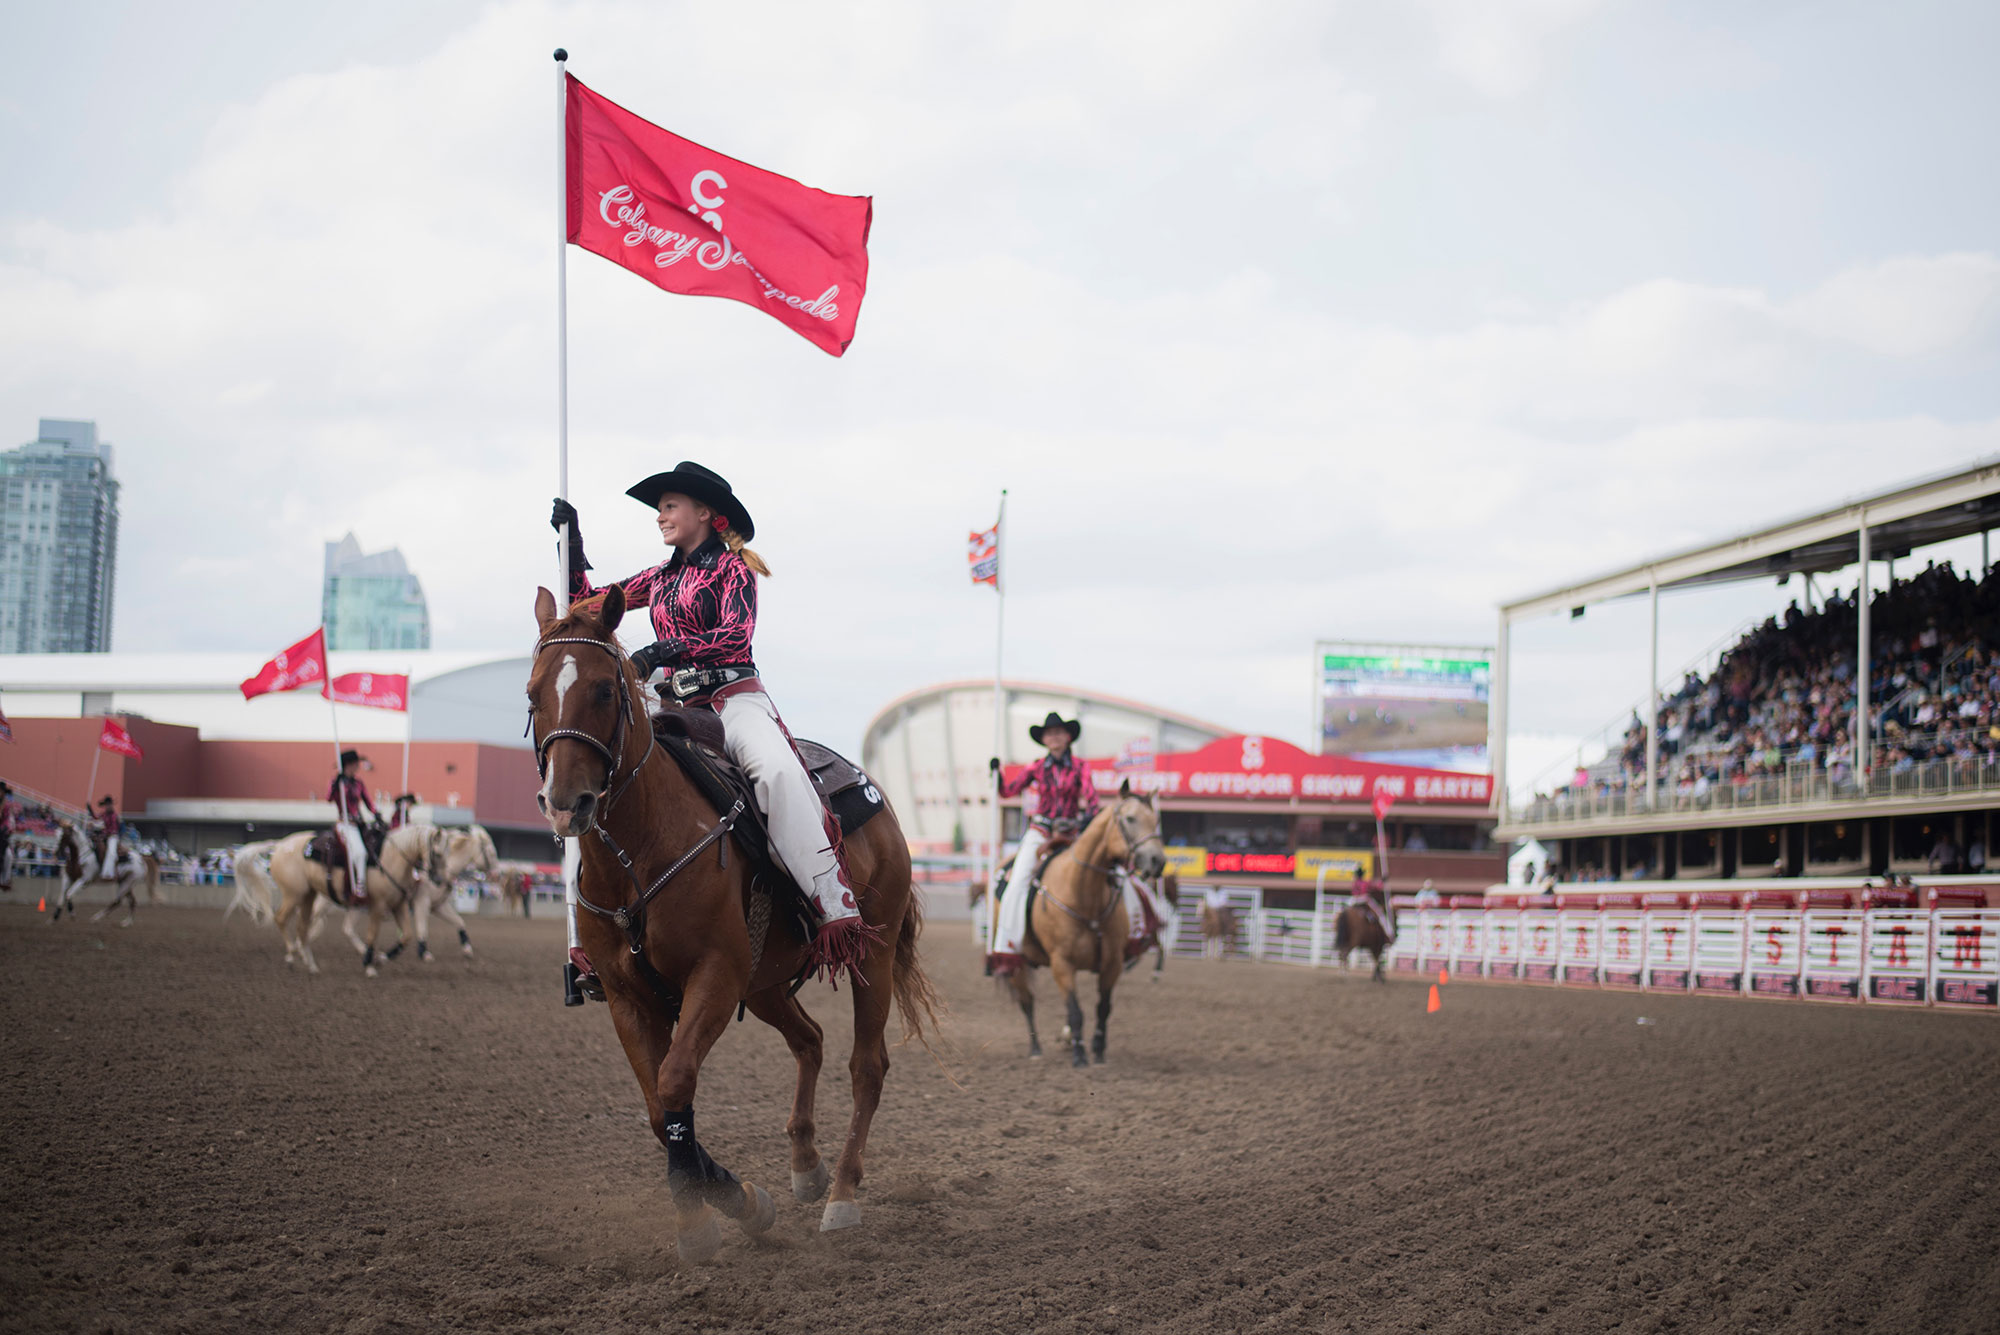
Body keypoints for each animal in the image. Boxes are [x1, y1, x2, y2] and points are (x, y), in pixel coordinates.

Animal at [262, 819, 446, 975]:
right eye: (437, 853)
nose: (439, 880)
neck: (390, 859)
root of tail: (280, 846)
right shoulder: (378, 905)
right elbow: (372, 934)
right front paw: (369, 965)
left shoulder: (398, 905)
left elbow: (406, 936)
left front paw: (381, 958)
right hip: (293, 894)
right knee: (281, 919)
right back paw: (291, 955)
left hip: (308, 895)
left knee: (302, 927)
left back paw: (311, 965)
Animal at [528, 587, 940, 1263]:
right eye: (534, 692)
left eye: (605, 690)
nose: (567, 804)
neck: (640, 854)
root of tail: (875, 797)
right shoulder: (629, 996)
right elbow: (657, 1108)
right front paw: (721, 1206)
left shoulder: (715, 975)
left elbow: (675, 1083)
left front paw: (714, 1212)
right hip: (766, 981)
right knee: (810, 1040)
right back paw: (806, 1166)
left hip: (868, 959)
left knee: (866, 1066)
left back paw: (841, 1196)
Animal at [1008, 787, 1168, 1071]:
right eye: (1130, 819)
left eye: (1155, 820)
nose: (1157, 861)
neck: (1083, 893)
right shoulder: (1062, 963)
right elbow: (1075, 1011)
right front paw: (1080, 1056)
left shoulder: (1112, 963)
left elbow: (1102, 1008)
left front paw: (1098, 1051)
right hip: (1017, 961)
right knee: (1027, 1002)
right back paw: (1036, 1048)